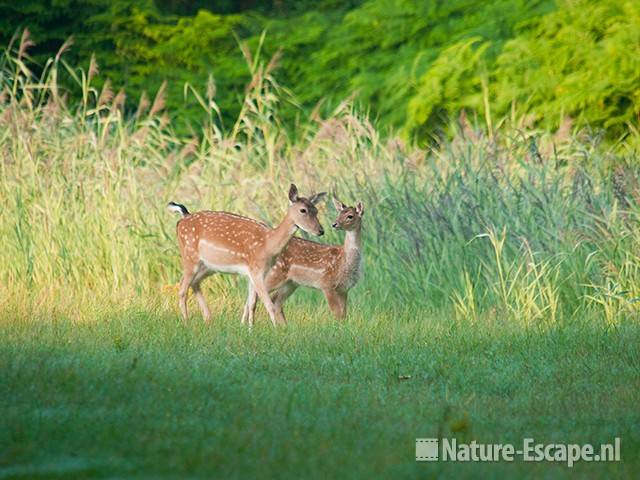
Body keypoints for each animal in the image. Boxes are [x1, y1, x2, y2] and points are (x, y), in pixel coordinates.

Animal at [168, 184, 328, 326]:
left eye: (316, 210)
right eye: (303, 210)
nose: (321, 230)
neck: (268, 244)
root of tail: (183, 218)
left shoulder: (255, 273)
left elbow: (252, 304)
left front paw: (250, 329)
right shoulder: (256, 270)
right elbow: (268, 304)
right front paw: (275, 330)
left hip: (208, 266)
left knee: (194, 283)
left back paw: (208, 319)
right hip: (190, 256)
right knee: (182, 289)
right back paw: (186, 322)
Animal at [242, 196, 364, 326]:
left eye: (350, 216)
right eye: (339, 213)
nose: (334, 224)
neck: (344, 262)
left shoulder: (344, 289)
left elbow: (343, 314)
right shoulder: (327, 284)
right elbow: (336, 313)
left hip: (291, 283)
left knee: (275, 300)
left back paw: (284, 327)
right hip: (273, 275)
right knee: (254, 296)